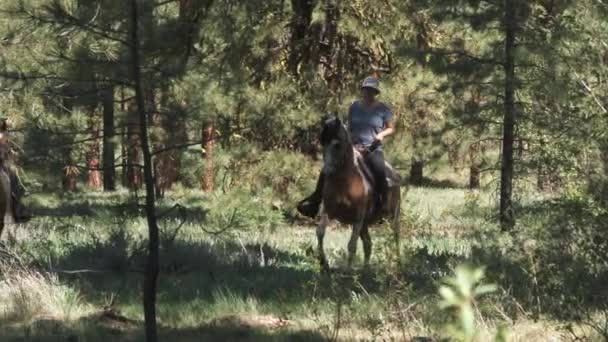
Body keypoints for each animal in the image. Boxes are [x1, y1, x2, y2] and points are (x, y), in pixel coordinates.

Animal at [314, 117, 404, 270]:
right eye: (322, 143)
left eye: (337, 145)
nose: (326, 172)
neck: (346, 183)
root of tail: (394, 173)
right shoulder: (329, 211)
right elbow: (320, 232)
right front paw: (324, 263)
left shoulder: (358, 219)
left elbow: (351, 245)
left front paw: (348, 270)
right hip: (365, 224)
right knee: (368, 244)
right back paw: (366, 269)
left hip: (393, 216)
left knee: (395, 236)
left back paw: (398, 263)